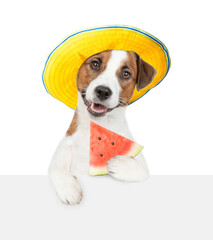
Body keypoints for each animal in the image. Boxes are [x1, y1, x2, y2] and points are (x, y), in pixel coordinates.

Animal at [49, 48, 157, 204]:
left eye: (126, 74)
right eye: (95, 64)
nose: (103, 91)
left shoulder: (140, 161)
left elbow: (144, 171)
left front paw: (119, 165)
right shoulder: (63, 149)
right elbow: (56, 170)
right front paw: (69, 189)